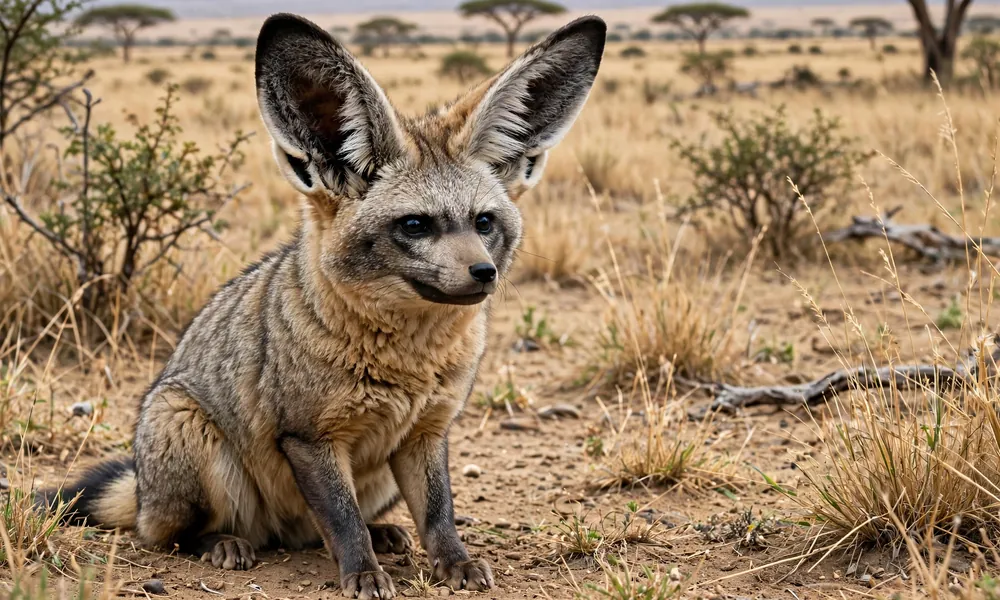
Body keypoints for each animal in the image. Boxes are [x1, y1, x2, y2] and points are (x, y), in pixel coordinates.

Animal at [39, 12, 605, 600]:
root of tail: (144, 492)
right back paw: (224, 544)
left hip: (376, 480)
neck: (410, 361)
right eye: (415, 225)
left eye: (485, 222)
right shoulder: (310, 437)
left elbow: (438, 513)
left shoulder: (427, 433)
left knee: (318, 530)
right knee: (170, 535)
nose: (484, 274)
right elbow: (341, 517)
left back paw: (383, 534)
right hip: (188, 433)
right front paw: (363, 575)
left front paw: (455, 563)